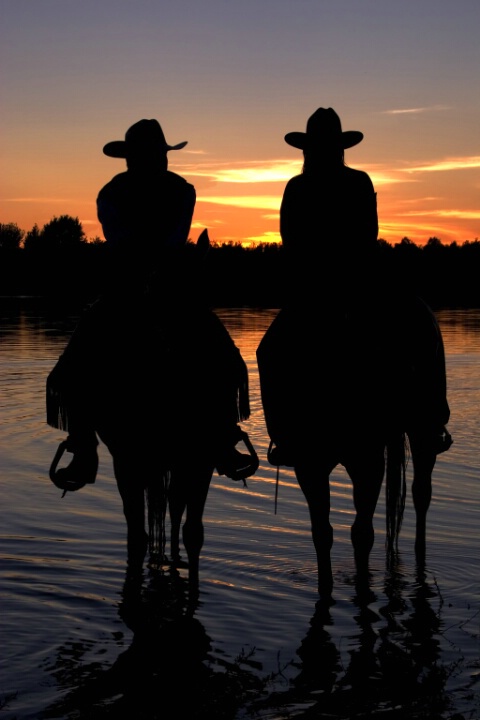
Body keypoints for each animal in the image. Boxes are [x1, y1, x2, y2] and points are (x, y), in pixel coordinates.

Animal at [256, 290, 452, 600]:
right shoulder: (309, 465)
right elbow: (322, 533)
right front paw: (326, 587)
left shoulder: (367, 462)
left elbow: (362, 534)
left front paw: (362, 590)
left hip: (423, 430)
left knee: (422, 493)